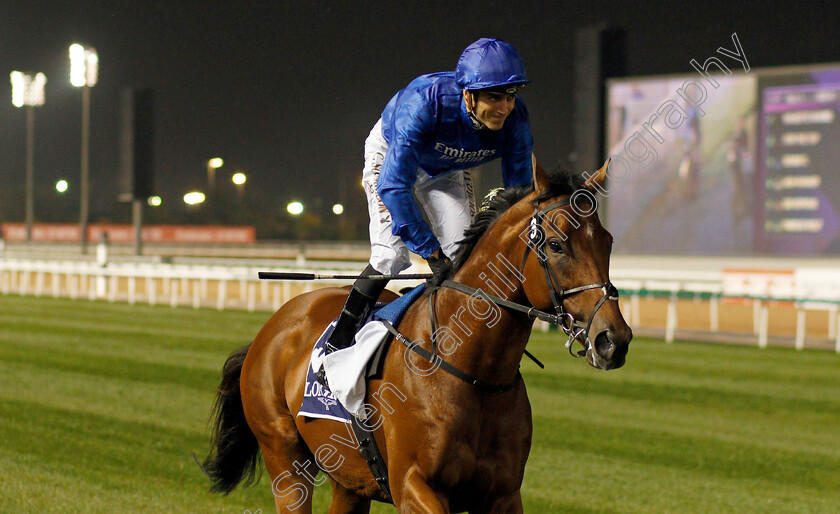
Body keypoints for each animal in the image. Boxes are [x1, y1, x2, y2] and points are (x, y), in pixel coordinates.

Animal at [202, 162, 632, 510]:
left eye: (608, 242)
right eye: (557, 245)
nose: (614, 339)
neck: (472, 372)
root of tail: (273, 326)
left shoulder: (503, 494)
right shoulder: (414, 485)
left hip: (348, 480)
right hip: (285, 460)